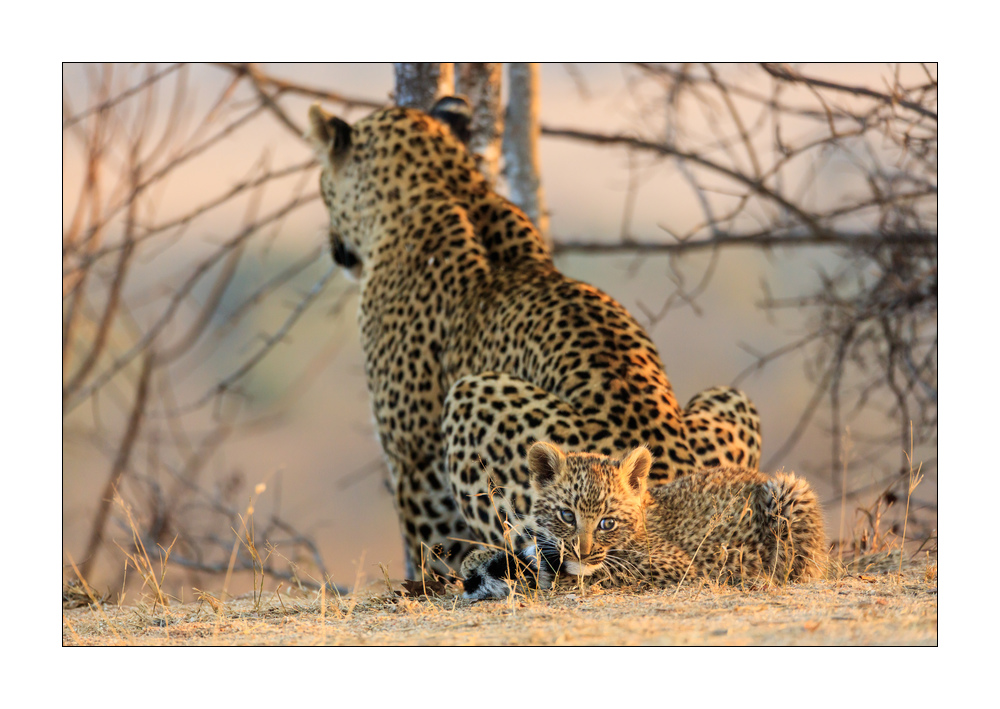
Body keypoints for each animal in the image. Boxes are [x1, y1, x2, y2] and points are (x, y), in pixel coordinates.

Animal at [307, 96, 762, 579]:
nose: (334, 247)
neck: (447, 184)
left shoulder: (415, 458)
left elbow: (430, 542)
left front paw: (428, 582)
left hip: (472, 393)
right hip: (733, 397)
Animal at [461, 441, 827, 600]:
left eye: (607, 523)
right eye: (567, 515)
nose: (582, 552)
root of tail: (758, 475)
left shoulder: (677, 567)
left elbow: (604, 574)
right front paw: (479, 559)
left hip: (789, 492)